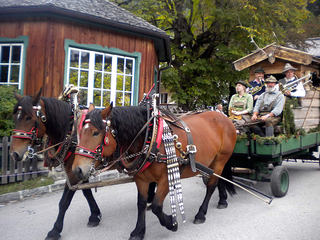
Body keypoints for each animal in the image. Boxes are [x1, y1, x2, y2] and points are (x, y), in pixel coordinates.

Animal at [9, 90, 102, 240]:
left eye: (29, 118)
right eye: (16, 118)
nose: (14, 154)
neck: (70, 132)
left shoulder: (74, 173)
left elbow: (64, 202)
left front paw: (55, 230)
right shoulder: (78, 170)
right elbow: (86, 192)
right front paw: (95, 215)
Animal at [72, 104, 238, 239]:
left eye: (95, 133)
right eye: (80, 133)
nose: (77, 170)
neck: (151, 139)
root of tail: (225, 118)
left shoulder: (166, 178)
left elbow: (157, 206)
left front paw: (171, 223)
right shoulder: (141, 179)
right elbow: (141, 203)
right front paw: (139, 231)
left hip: (221, 160)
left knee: (211, 186)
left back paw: (201, 214)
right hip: (213, 163)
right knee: (217, 180)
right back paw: (222, 200)